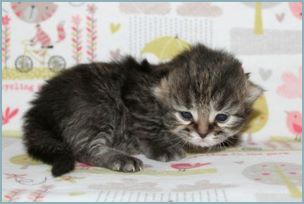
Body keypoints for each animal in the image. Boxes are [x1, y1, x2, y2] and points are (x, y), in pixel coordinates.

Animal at [22, 43, 262, 176]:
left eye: (222, 117)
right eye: (185, 114)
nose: (203, 134)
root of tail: (41, 104)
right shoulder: (135, 98)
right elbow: (146, 126)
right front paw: (161, 146)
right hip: (97, 108)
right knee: (83, 148)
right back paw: (121, 159)